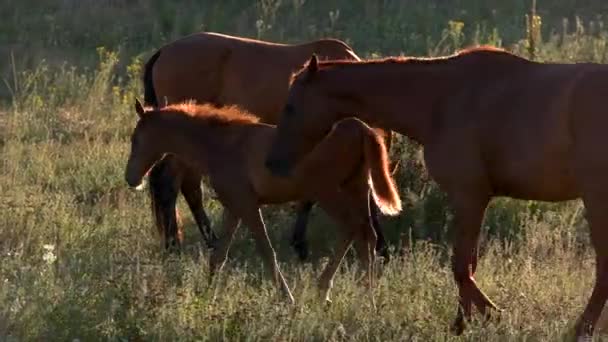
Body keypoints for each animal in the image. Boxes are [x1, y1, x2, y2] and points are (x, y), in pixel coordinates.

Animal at [125, 99, 402, 304]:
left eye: (136, 138)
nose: (131, 178)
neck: (221, 144)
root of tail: (360, 128)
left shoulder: (247, 205)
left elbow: (267, 251)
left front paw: (287, 299)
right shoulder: (234, 207)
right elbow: (219, 255)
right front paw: (206, 297)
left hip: (328, 193)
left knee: (351, 229)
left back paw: (325, 292)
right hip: (357, 191)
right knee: (366, 236)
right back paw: (367, 297)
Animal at [141, 32, 394, 260]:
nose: (382, 248)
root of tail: (164, 51)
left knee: (189, 187)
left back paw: (207, 242)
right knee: (169, 184)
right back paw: (175, 247)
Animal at [266, 47, 608, 340]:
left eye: (290, 107)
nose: (273, 163)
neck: (441, 98)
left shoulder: (469, 196)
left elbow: (461, 268)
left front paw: (491, 315)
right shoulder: (473, 199)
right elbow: (467, 266)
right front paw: (462, 323)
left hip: (596, 199)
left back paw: (582, 328)